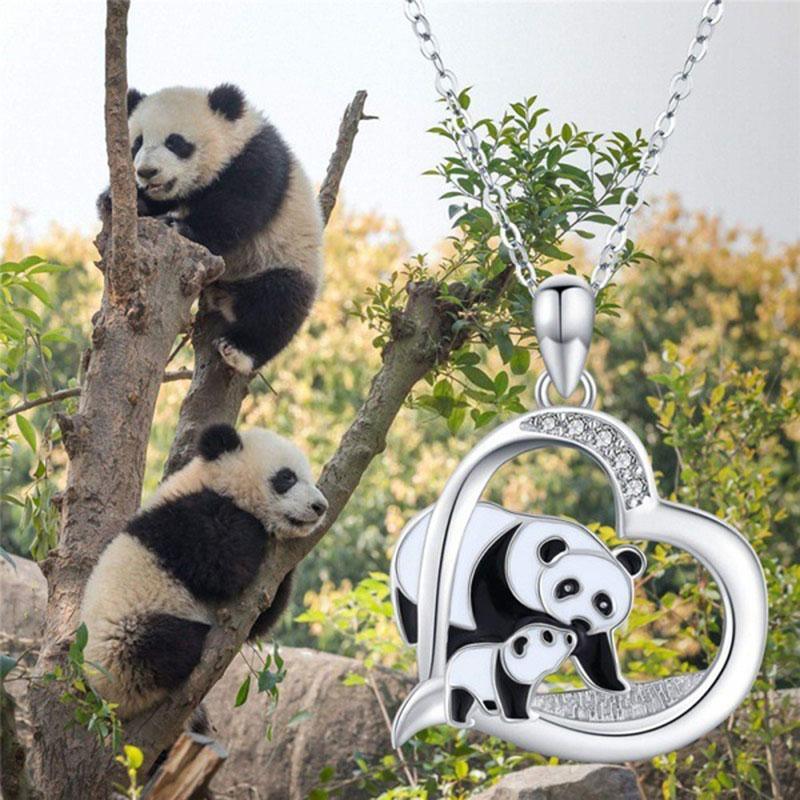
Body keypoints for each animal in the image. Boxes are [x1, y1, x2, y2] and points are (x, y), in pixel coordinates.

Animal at [80, 423, 328, 719]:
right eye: (287, 477)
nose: (320, 507)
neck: (210, 479)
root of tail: (114, 702)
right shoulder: (182, 522)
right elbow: (221, 567)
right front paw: (253, 526)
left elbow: (260, 614)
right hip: (123, 639)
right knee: (163, 644)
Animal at [98, 83, 323, 375]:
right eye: (137, 142)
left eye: (175, 142)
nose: (147, 172)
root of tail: (229, 297)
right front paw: (115, 200)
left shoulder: (256, 160)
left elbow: (235, 209)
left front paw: (178, 225)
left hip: (286, 259)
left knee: (279, 304)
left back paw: (239, 351)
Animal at [390, 502, 645, 694]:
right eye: (568, 587)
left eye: (603, 603)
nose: (579, 621)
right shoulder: (499, 567)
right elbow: (498, 618)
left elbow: (597, 648)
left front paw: (614, 684)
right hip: (415, 580)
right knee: (414, 616)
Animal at [445, 622, 575, 726]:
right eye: (548, 636)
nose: (570, 637)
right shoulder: (504, 671)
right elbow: (508, 694)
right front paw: (517, 717)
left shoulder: (521, 679)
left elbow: (522, 695)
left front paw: (528, 715)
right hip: (460, 679)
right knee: (462, 697)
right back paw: (462, 721)